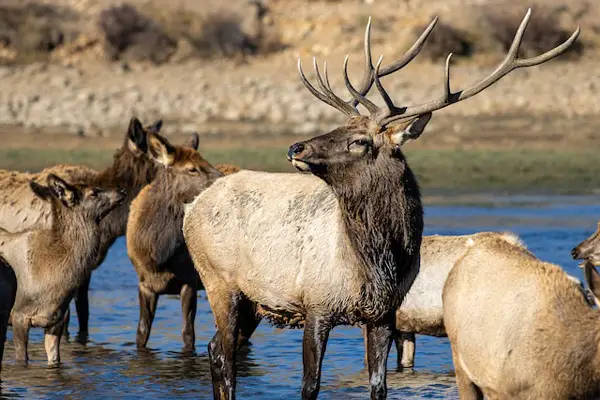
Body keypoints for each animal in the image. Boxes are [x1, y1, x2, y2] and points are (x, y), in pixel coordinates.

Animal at [1, 175, 125, 366]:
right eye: (94, 192)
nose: (121, 191)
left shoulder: (56, 320)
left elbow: (55, 360)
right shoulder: (18, 316)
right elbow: (23, 360)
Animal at [127, 133, 255, 352]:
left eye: (206, 161)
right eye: (192, 169)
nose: (222, 180)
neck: (159, 254)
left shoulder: (190, 281)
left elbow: (188, 334)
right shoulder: (144, 283)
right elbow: (141, 333)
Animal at [182, 9, 576, 400]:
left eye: (358, 140)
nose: (296, 147)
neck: (376, 264)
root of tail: (194, 205)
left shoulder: (384, 315)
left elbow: (379, 386)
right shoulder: (317, 303)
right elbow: (309, 386)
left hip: (249, 298)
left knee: (216, 348)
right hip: (218, 280)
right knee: (224, 354)